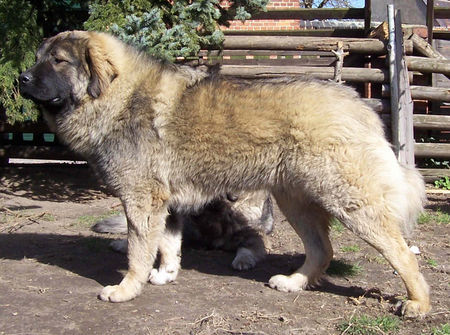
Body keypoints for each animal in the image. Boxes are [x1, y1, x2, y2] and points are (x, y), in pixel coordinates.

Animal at [19, 30, 430, 318]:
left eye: (57, 60)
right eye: (37, 58)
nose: (21, 78)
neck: (115, 96)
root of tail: (357, 102)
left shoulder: (141, 200)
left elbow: (138, 251)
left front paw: (126, 289)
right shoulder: (165, 203)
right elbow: (167, 244)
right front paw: (166, 274)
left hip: (348, 201)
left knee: (401, 252)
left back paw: (418, 303)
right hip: (295, 201)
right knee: (322, 249)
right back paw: (294, 282)